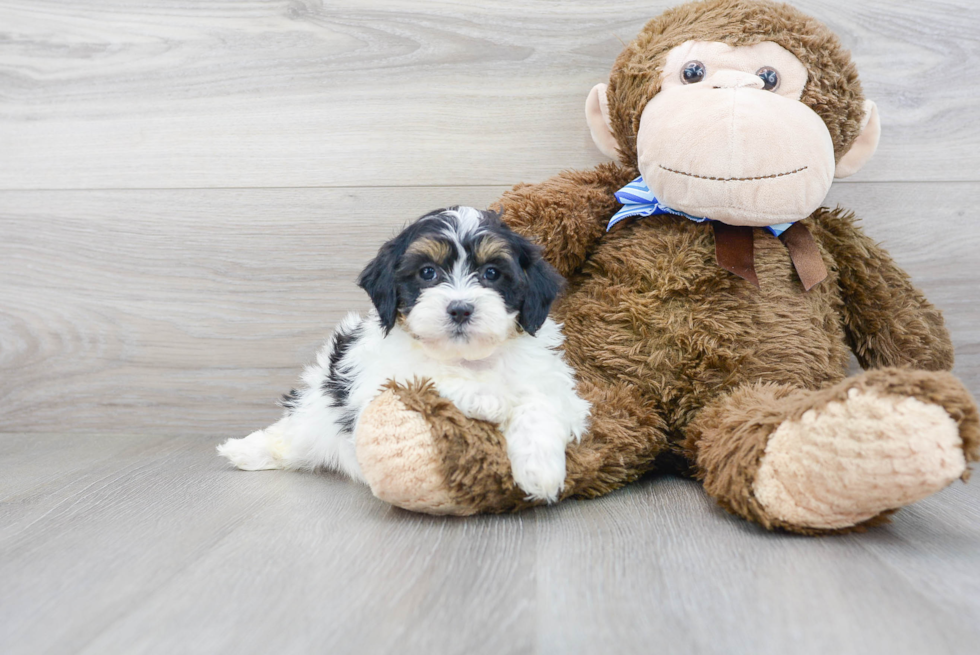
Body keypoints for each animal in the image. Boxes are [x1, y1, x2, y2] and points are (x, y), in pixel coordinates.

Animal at [218, 206, 588, 502]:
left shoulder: (553, 383)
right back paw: (243, 450)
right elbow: (423, 375)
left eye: (492, 273)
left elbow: (540, 405)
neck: (467, 357)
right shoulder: (374, 386)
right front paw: (487, 397)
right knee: (293, 435)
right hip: (316, 409)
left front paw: (540, 471)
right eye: (428, 272)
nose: (460, 309)